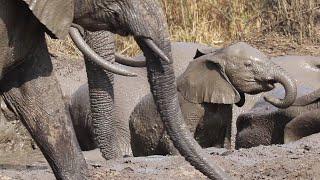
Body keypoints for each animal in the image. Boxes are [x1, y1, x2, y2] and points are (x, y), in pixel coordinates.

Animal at [128, 41, 298, 156]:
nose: (270, 96)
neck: (215, 55)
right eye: (248, 65)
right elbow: (171, 141)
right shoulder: (189, 105)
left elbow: (223, 140)